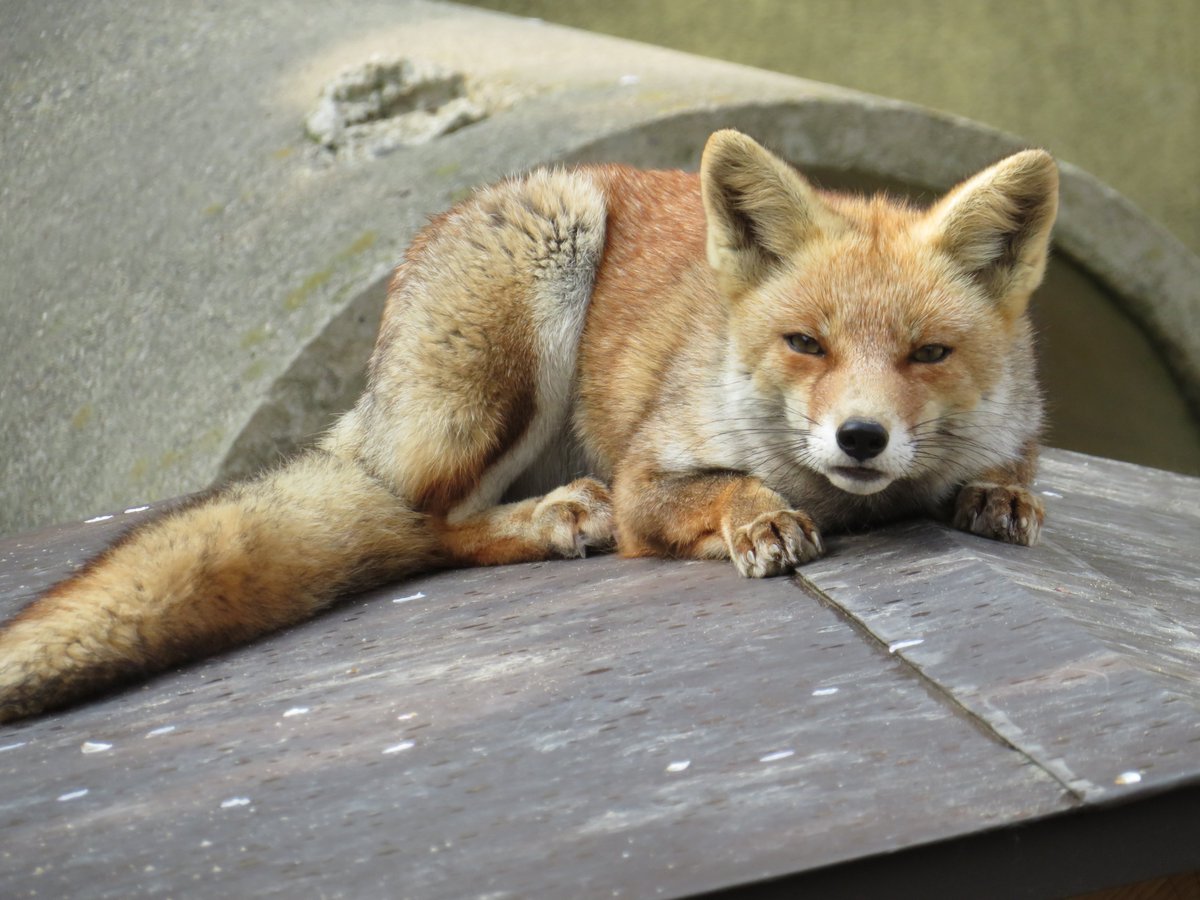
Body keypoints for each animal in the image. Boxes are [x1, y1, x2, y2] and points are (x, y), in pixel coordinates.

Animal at [0, 130, 1051, 724]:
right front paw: (760, 520)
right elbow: (723, 488)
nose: (860, 439)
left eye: (927, 354)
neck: (857, 503)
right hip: (535, 291)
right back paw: (549, 521)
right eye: (806, 344)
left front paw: (998, 497)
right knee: (422, 524)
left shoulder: (1014, 427)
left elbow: (1017, 468)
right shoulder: (649, 475)